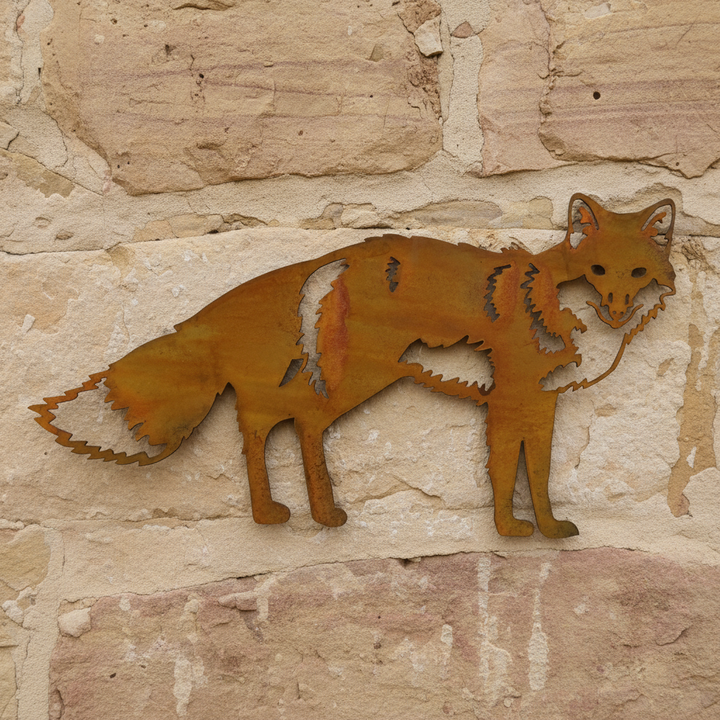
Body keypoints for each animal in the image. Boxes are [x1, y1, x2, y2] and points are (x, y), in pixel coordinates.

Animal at [30, 194, 675, 538]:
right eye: (598, 271)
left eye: (638, 273)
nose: (617, 310)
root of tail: (328, 259)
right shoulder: (511, 401)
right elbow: (505, 472)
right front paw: (512, 530)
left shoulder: (540, 405)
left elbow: (536, 476)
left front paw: (546, 528)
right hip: (359, 378)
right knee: (270, 424)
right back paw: (290, 512)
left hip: (332, 385)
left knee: (279, 424)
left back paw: (303, 512)